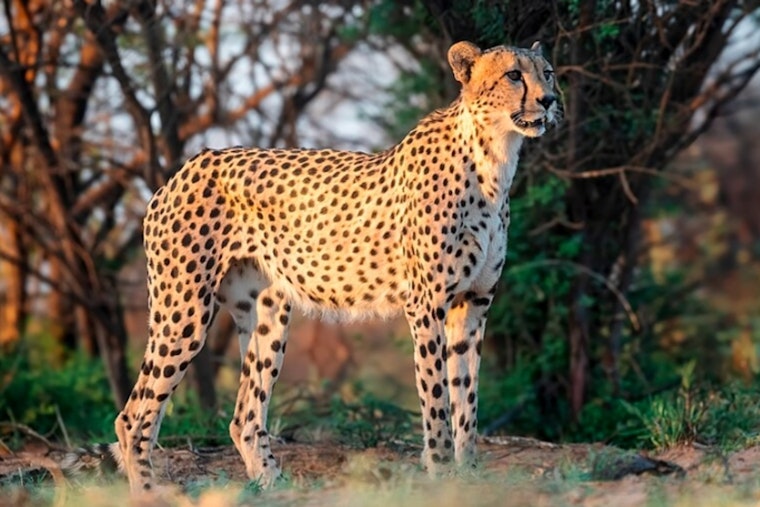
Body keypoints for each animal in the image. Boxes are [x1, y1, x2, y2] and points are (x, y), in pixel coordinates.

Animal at [109, 40, 561, 492]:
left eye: (548, 72)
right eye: (513, 75)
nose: (549, 100)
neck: (493, 158)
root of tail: (188, 165)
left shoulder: (473, 305)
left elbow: (466, 398)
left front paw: (468, 477)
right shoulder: (427, 305)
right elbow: (435, 400)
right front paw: (440, 473)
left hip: (268, 315)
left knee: (244, 417)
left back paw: (276, 486)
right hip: (183, 313)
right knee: (133, 416)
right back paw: (149, 491)